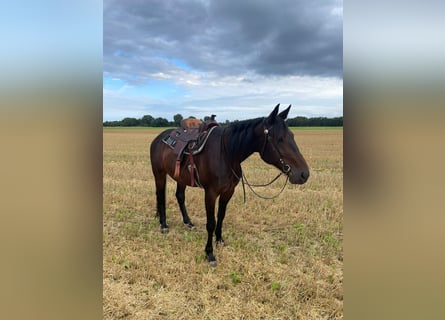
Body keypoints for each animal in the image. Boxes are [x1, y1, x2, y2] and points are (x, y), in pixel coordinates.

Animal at [149, 104, 308, 266]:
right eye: (279, 139)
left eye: (292, 136)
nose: (304, 174)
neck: (226, 153)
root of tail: (159, 138)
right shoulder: (210, 193)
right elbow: (211, 222)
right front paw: (209, 253)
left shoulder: (228, 191)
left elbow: (221, 216)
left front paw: (219, 240)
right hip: (159, 174)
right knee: (160, 196)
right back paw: (163, 225)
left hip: (181, 178)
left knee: (180, 196)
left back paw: (188, 222)